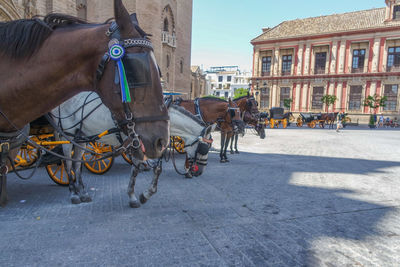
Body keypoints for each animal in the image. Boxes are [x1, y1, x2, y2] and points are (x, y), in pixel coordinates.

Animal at [49, 92, 216, 207]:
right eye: (204, 148)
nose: (199, 172)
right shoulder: (137, 144)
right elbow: (135, 171)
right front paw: (133, 196)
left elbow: (157, 170)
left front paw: (146, 194)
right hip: (67, 136)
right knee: (67, 164)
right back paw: (73, 193)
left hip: (81, 137)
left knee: (77, 164)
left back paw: (82, 192)